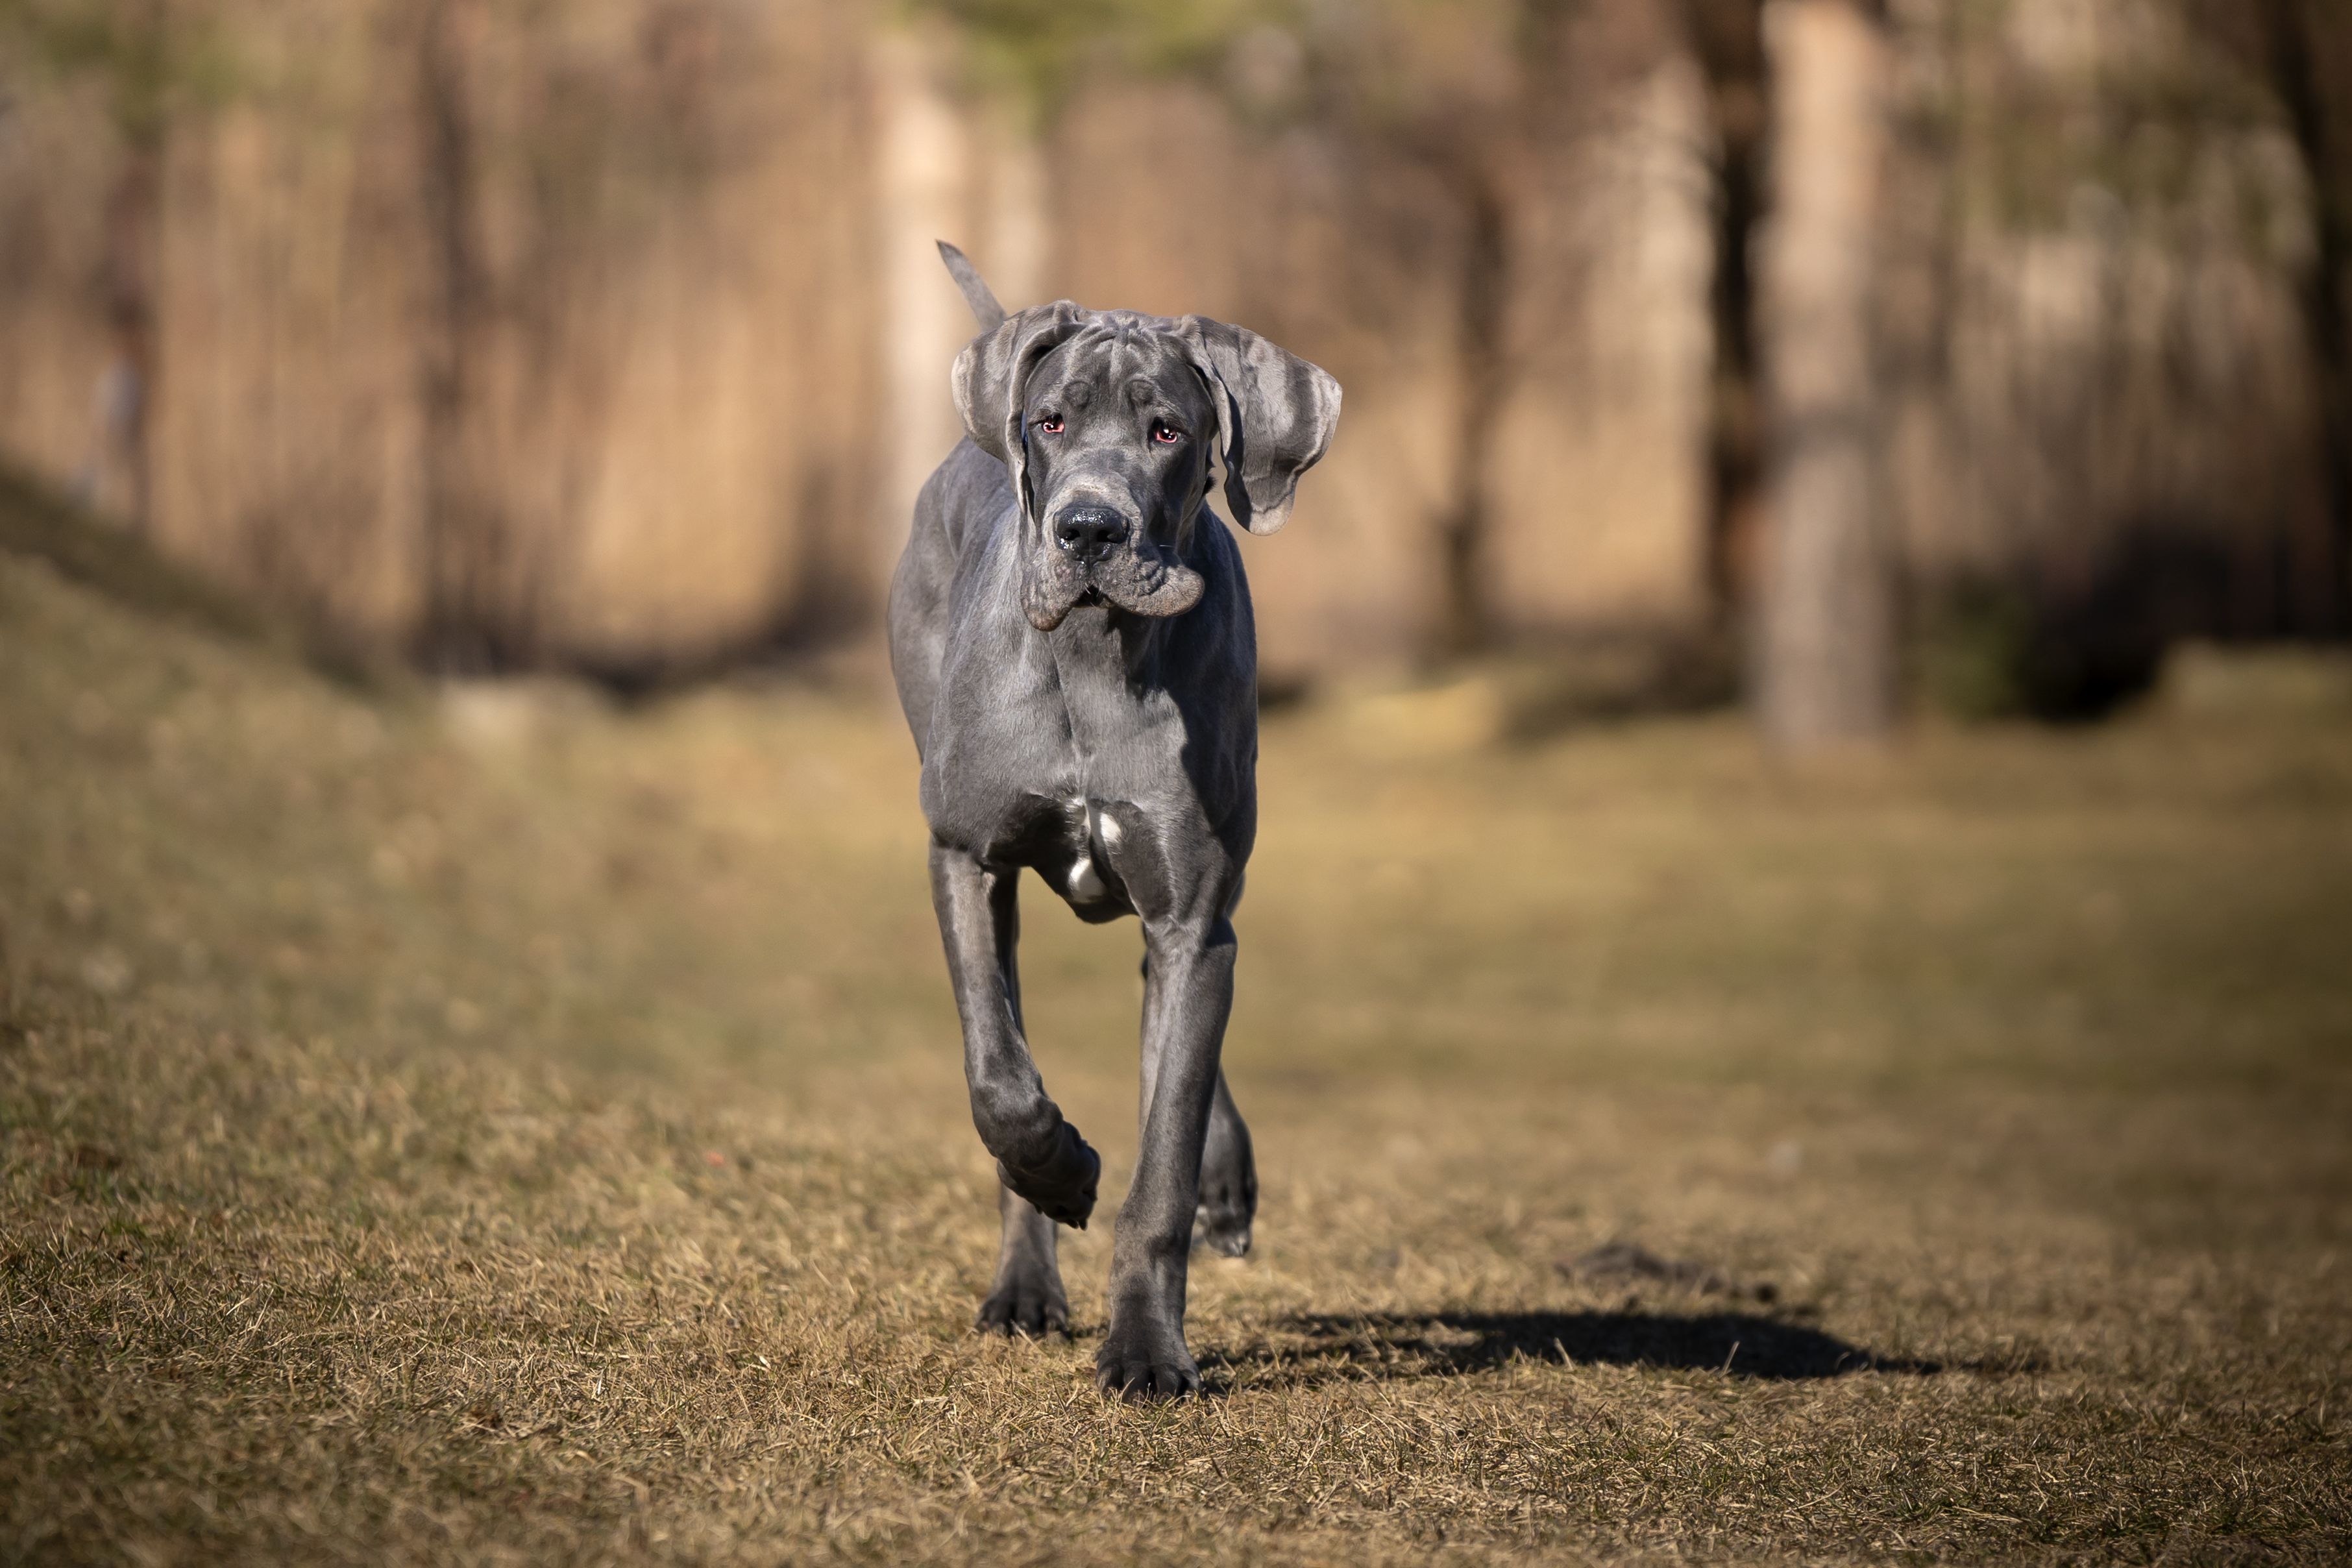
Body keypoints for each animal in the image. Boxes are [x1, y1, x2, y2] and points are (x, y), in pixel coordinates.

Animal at [884, 242, 1345, 1401]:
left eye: (1167, 431)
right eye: (1052, 421)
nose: (1088, 528)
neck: (1095, 657)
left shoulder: (1190, 915)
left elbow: (1165, 1155)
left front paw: (1146, 1348)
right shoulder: (965, 860)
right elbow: (1000, 1079)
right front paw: (1064, 1170)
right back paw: (1023, 1284)